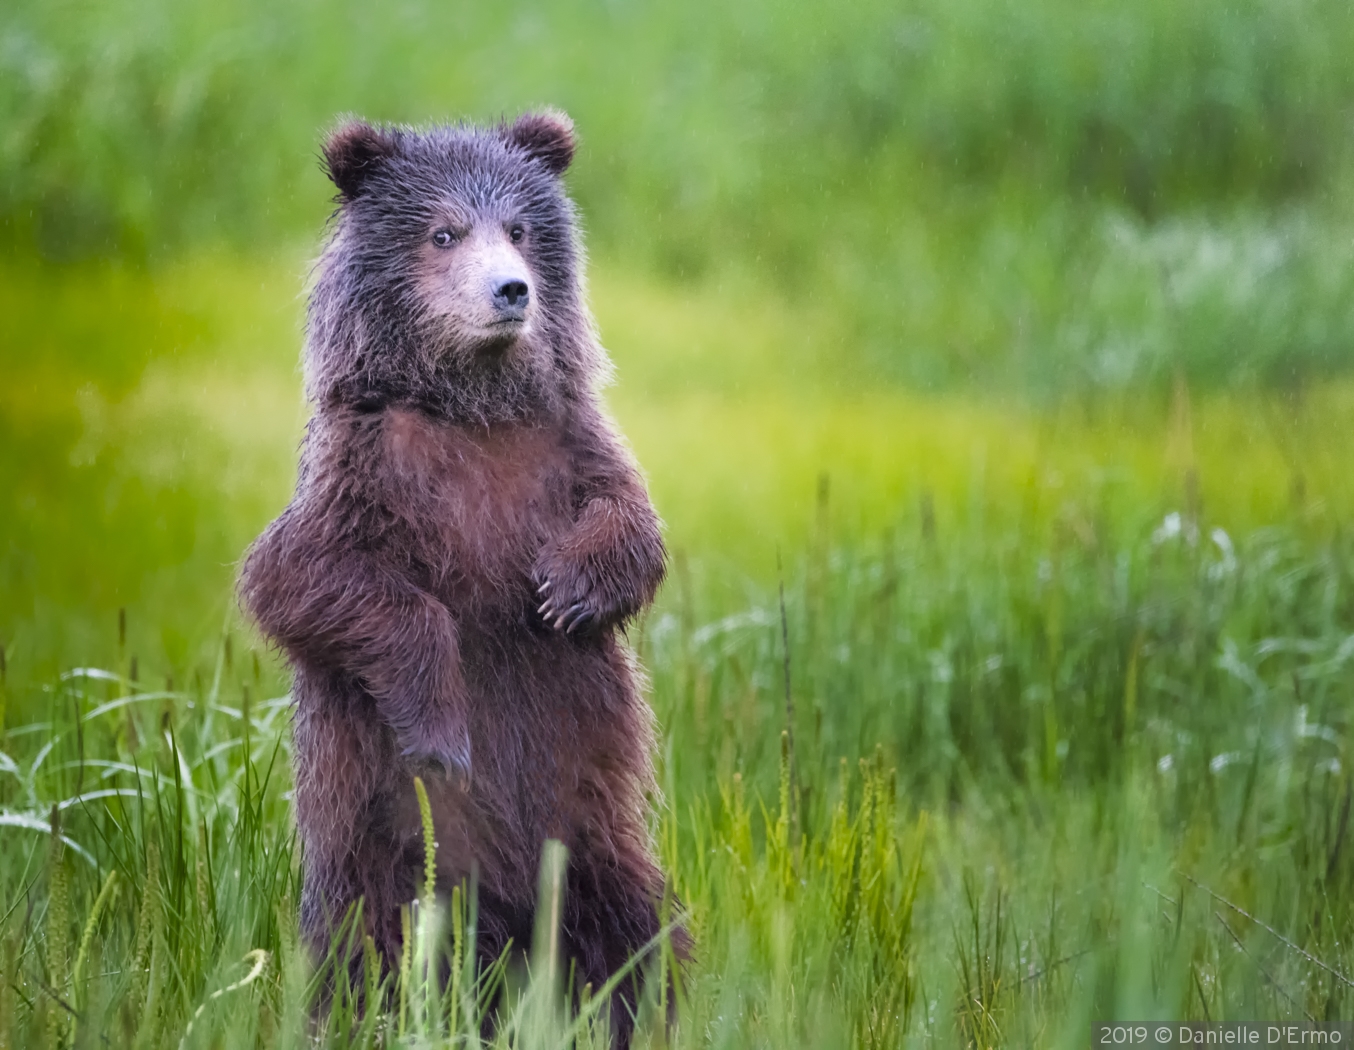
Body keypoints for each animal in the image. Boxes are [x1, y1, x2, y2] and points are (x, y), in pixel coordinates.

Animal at [239, 111, 682, 1040]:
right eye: (442, 232)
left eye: (518, 227)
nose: (512, 290)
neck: (470, 406)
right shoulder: (364, 466)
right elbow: (301, 579)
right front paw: (442, 731)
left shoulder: (564, 444)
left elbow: (633, 525)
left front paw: (570, 589)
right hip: (382, 849)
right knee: (367, 943)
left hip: (586, 836)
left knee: (633, 932)